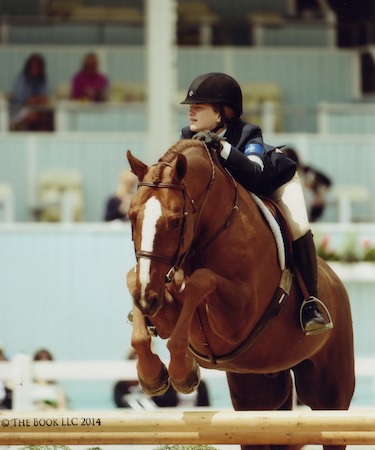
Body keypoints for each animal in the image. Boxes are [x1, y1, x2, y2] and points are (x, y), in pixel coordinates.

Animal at [126, 140, 356, 450]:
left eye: (175, 221)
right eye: (132, 216)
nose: (147, 299)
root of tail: (336, 282)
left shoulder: (238, 316)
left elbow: (201, 281)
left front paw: (183, 372)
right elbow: (132, 280)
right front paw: (152, 376)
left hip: (328, 393)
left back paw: (314, 313)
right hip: (257, 396)